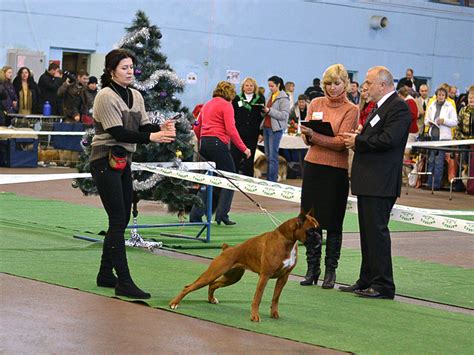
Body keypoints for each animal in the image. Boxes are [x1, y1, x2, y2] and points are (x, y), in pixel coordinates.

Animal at [168, 210, 320, 324]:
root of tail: (227, 248)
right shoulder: (265, 276)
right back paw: (174, 303)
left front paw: (274, 313)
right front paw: (254, 316)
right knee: (189, 287)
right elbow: (258, 298)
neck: (286, 239)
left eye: (318, 229)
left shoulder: (284, 277)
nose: (319, 237)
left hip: (232, 277)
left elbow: (276, 297)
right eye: (310, 231)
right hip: (213, 273)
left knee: (213, 285)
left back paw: (211, 299)